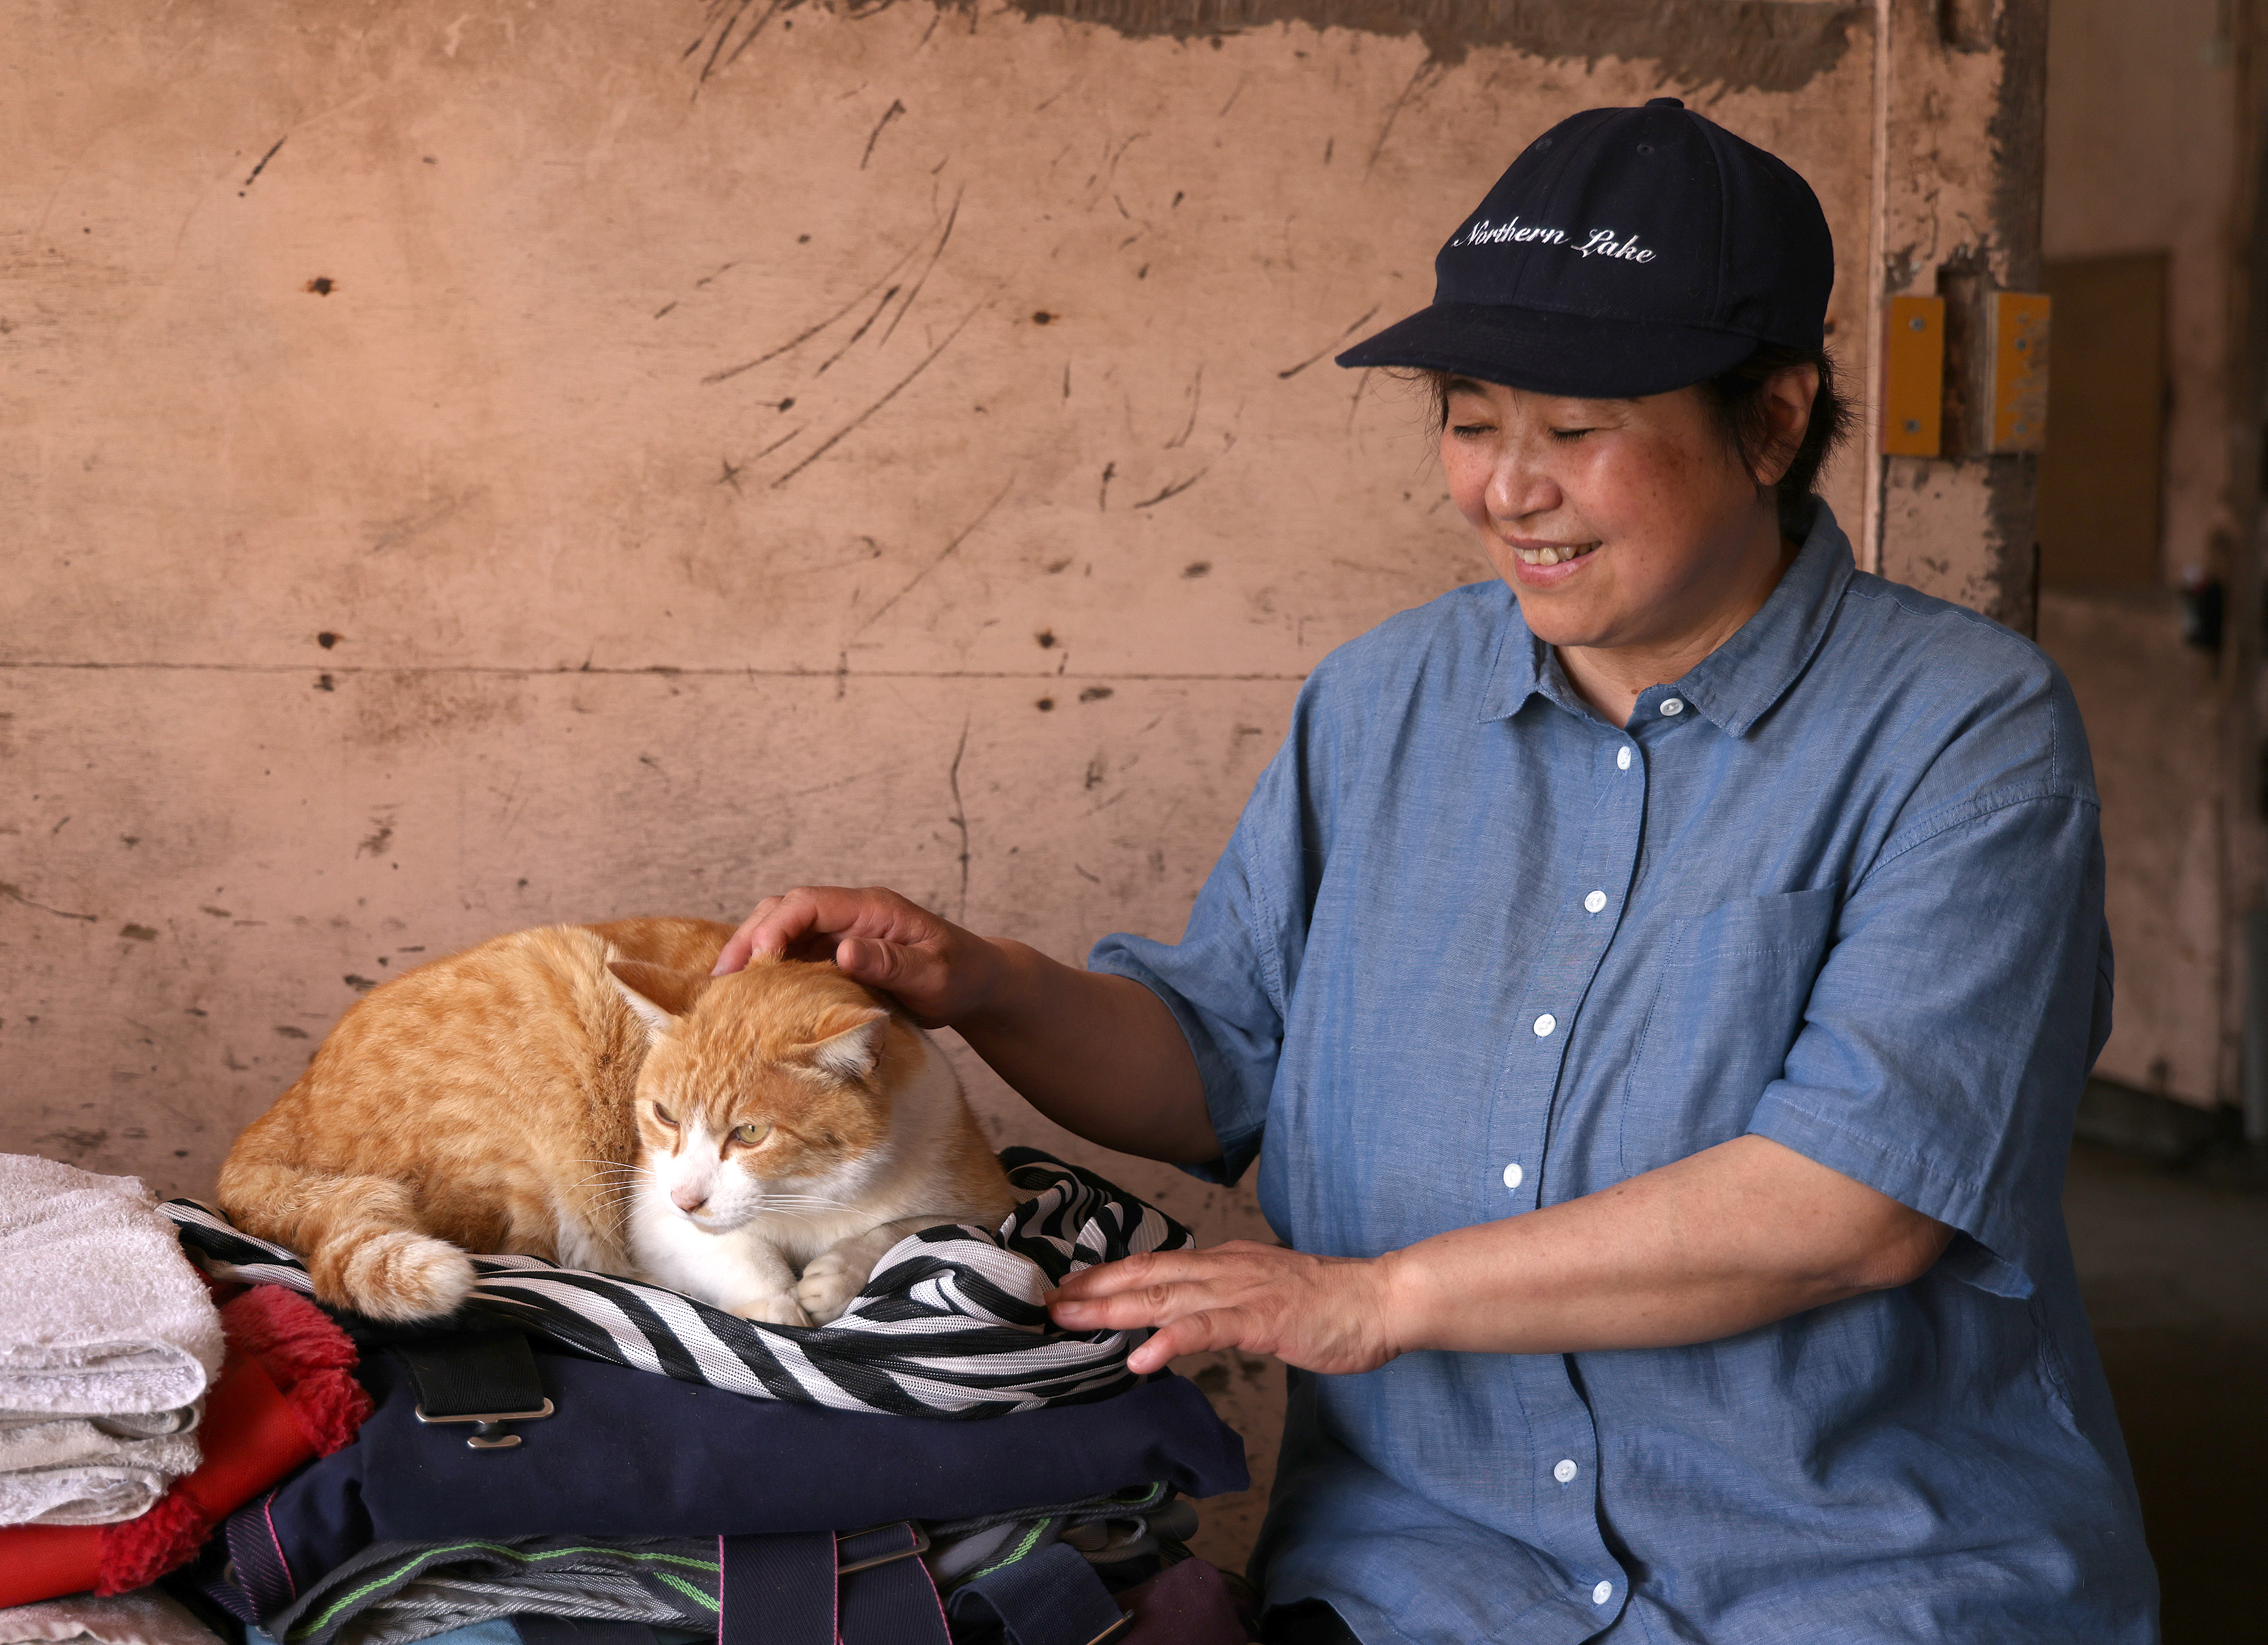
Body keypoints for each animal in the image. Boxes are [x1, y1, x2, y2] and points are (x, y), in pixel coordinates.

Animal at [217, 916, 1016, 1325]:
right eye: (662, 1115)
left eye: (750, 1134)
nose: (689, 1197)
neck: (807, 1202)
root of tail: (278, 1112)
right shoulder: (654, 1218)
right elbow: (742, 1265)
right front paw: (779, 1307)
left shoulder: (981, 1201)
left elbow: (902, 1230)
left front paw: (830, 1277)